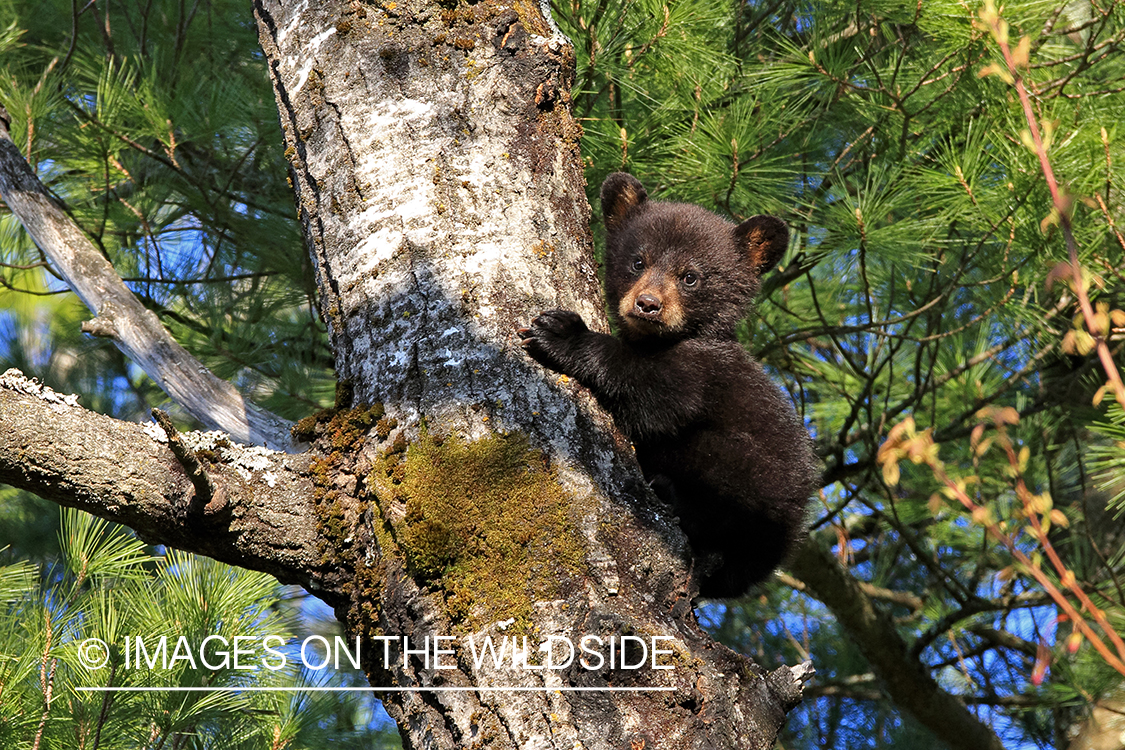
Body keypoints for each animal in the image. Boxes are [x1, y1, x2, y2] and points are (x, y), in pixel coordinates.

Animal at [519, 172, 819, 598]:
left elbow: (655, 396)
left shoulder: (705, 369)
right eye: (637, 261)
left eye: (690, 276)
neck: (668, 339)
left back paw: (669, 493)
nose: (647, 304)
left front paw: (562, 333)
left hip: (747, 474)